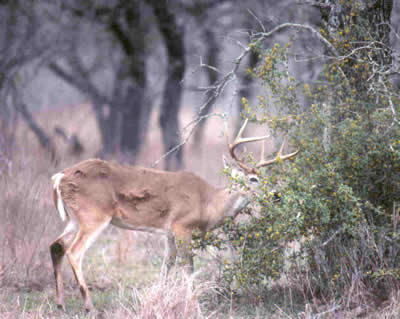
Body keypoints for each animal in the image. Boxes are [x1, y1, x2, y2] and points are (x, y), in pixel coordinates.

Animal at [49, 119, 296, 312]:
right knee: (74, 252)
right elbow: (188, 267)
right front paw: (194, 303)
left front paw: (159, 298)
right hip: (94, 215)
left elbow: (166, 267)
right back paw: (89, 306)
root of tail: (60, 178)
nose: (277, 195)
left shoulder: (168, 232)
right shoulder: (181, 226)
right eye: (254, 179)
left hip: (74, 218)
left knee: (56, 246)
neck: (207, 202)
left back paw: (61, 304)